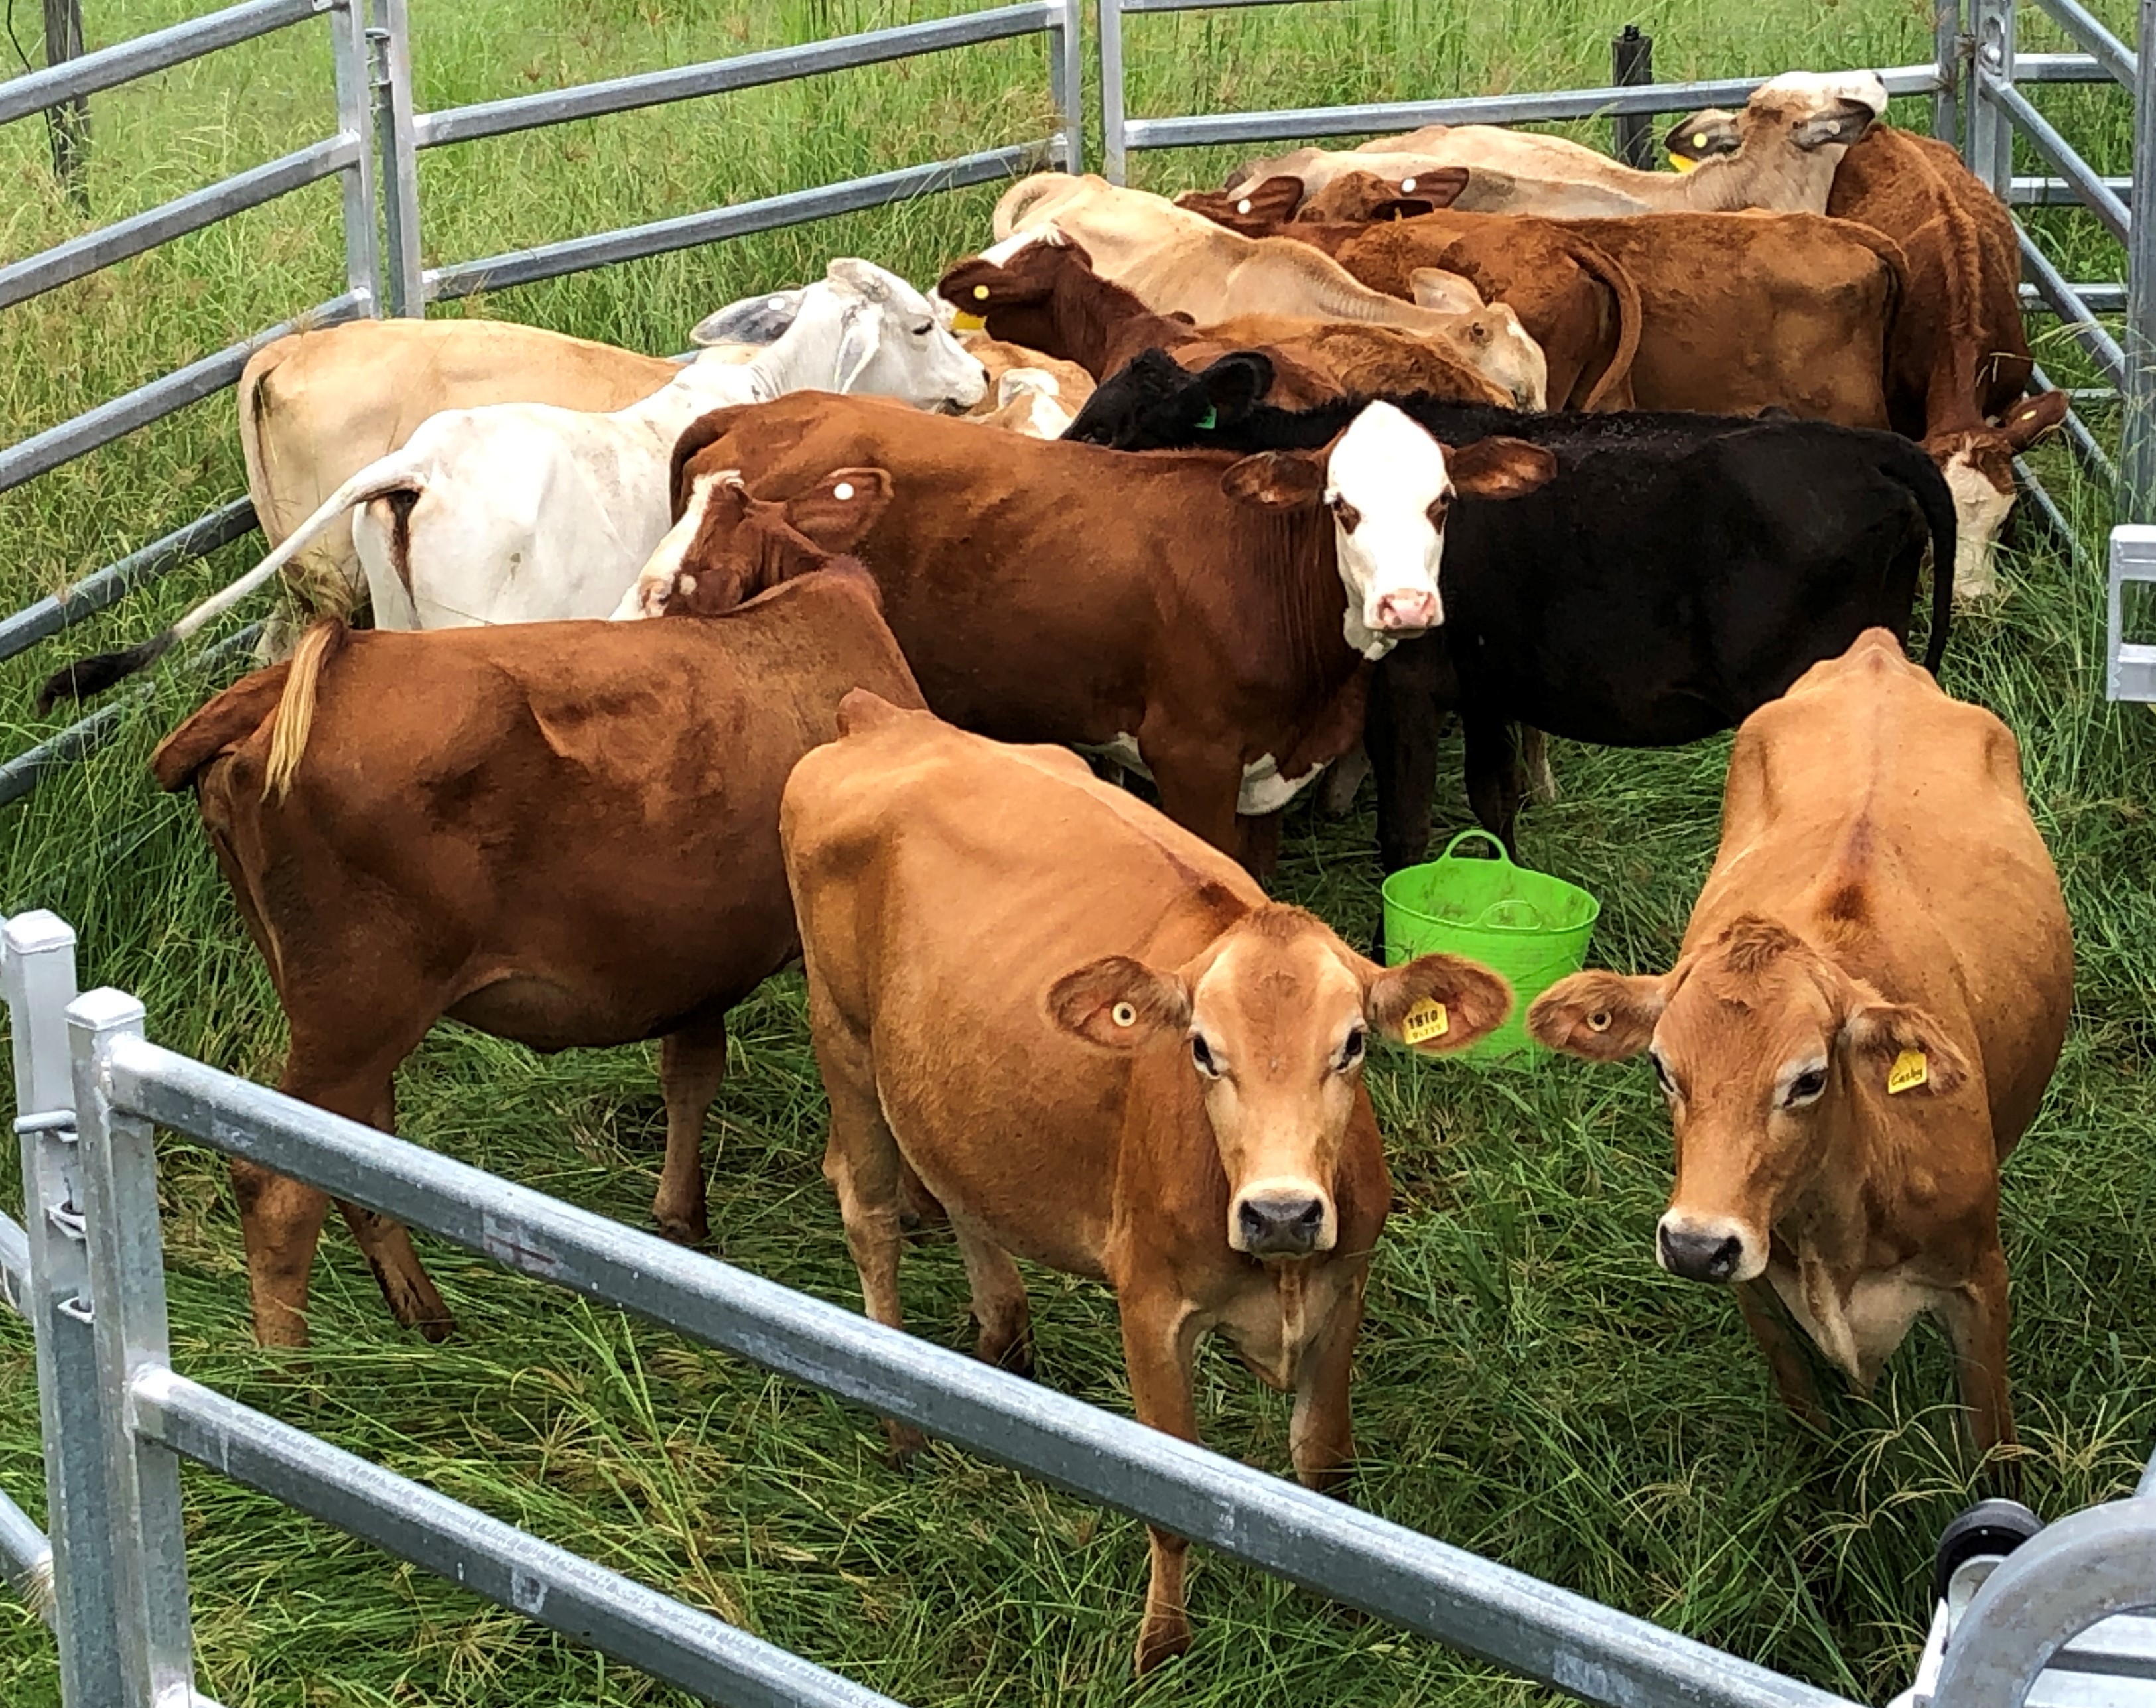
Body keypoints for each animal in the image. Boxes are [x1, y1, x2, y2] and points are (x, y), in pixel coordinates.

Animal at [146, 473, 920, 1347]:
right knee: (277, 1187)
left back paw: (426, 1316)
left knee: (352, 1157)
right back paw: (290, 1369)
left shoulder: (696, 949)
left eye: (673, 586)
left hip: (335, 1013)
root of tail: (309, 669)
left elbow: (691, 1072)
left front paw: (682, 1219)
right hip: (359, 1010)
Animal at [615, 391, 1554, 873]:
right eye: (1341, 506)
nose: (1407, 606)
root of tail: (761, 411)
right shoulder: (1191, 758)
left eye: (1442, 503)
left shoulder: (1263, 775)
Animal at [781, 688, 1513, 1671]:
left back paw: (1003, 1340)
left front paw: (1340, 1607)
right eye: (1200, 1047)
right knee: (867, 1209)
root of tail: (885, 716)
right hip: (842, 1034)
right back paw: (901, 1421)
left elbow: (1325, 1467)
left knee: (964, 1191)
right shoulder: (1151, 1309)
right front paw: (1162, 1643)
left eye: (1354, 1042)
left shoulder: (1344, 1285)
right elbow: (1172, 1500)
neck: (1276, 1271)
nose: (1283, 1211)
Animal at [1063, 353, 1956, 900]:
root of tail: (1867, 446)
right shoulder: (1487, 681)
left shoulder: (1405, 685)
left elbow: (1406, 829)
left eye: (1104, 429)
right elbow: (1495, 802)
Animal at [1527, 630, 2072, 1463]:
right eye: (1661, 1069)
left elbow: (1992, 1453)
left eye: (1809, 1079)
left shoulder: (1980, 1280)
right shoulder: (1754, 1286)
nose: (1695, 1245)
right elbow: (1810, 1428)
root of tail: (1876, 652)